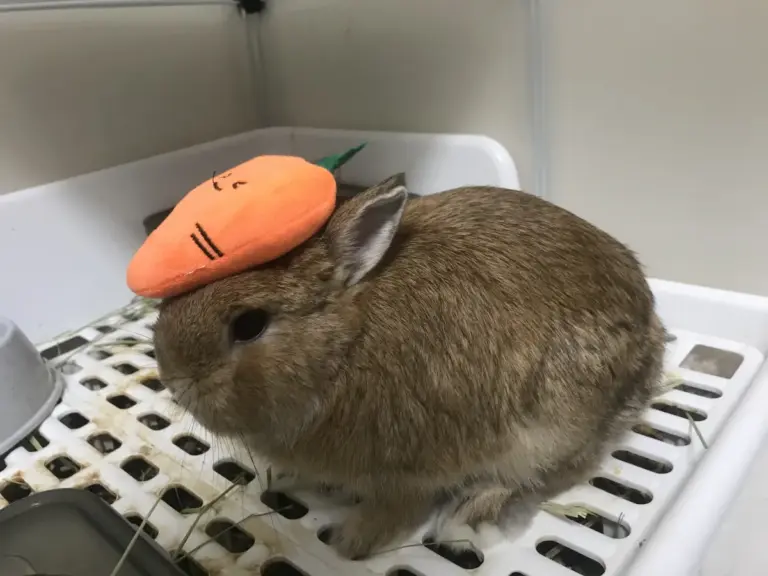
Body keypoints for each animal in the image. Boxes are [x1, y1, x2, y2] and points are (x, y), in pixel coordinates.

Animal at [153, 172, 666, 560]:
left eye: (249, 325)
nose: (174, 382)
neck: (345, 346)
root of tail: (650, 337)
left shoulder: (412, 467)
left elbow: (399, 508)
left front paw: (352, 541)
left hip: (552, 424)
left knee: (534, 475)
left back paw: (464, 521)